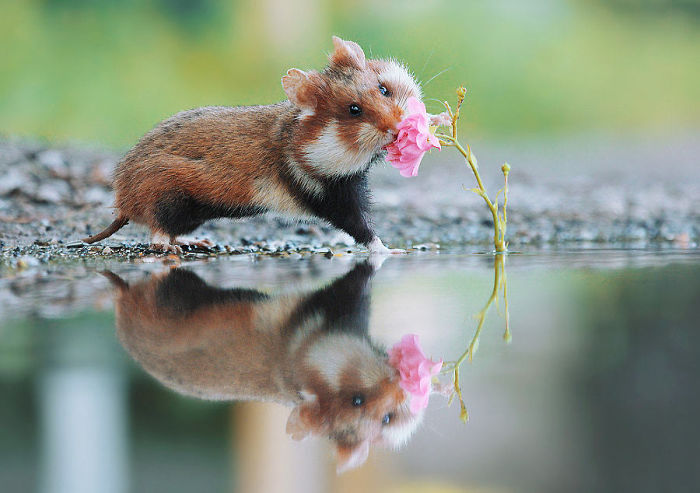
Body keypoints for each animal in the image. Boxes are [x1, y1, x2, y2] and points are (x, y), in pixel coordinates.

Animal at [82, 36, 422, 254]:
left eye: (384, 89)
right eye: (354, 110)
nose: (399, 129)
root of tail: (123, 204)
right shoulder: (331, 197)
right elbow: (364, 232)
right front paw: (393, 251)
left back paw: (198, 242)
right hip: (168, 197)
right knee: (158, 230)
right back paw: (173, 246)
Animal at [103, 261, 423, 472]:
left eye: (388, 419)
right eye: (357, 400)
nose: (402, 388)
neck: (301, 357)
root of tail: (120, 312)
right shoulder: (335, 308)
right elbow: (360, 280)